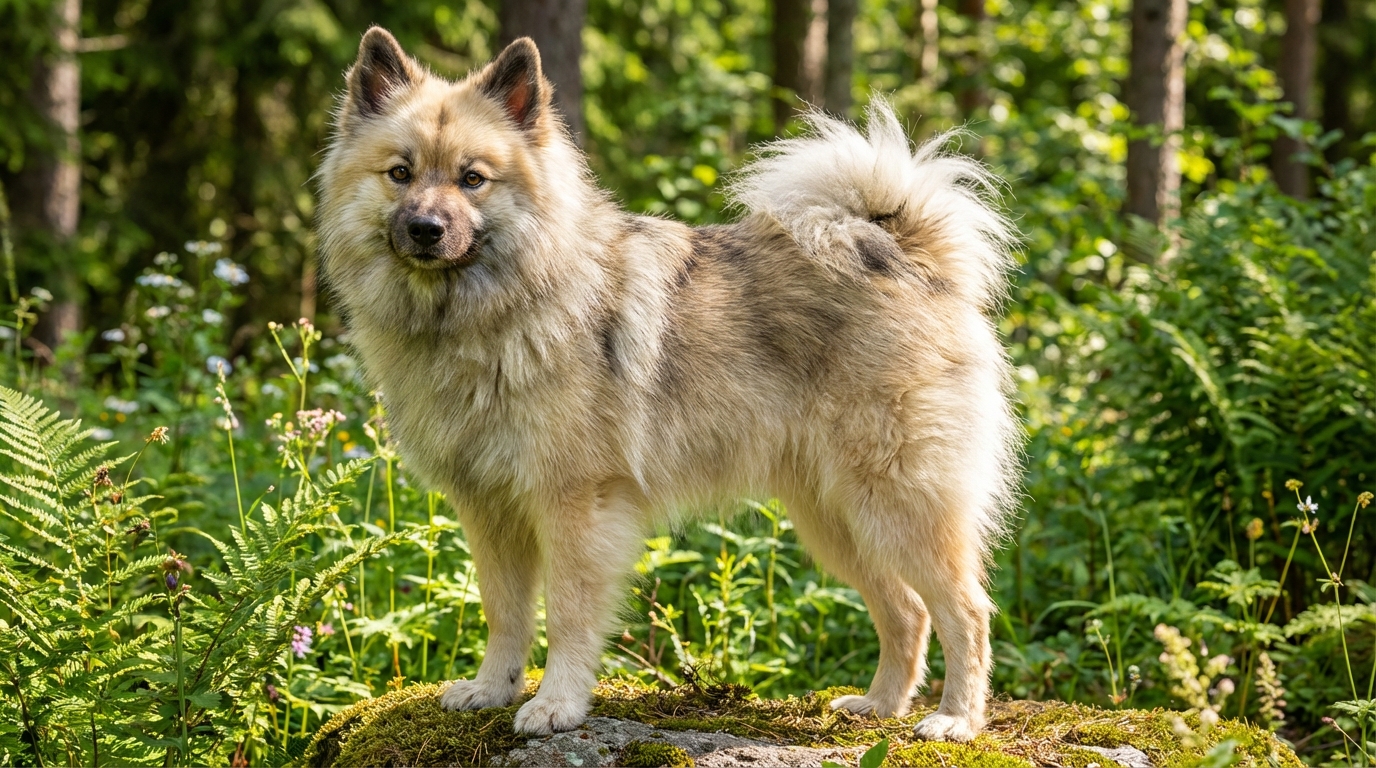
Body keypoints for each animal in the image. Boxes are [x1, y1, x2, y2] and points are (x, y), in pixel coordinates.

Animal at [317, 27, 1020, 742]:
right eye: (400, 173)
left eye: (472, 179)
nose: (426, 229)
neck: (489, 312)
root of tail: (906, 253)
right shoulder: (491, 509)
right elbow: (505, 612)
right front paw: (493, 689)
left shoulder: (574, 505)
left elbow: (567, 613)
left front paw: (556, 705)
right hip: (837, 517)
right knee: (906, 610)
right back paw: (880, 705)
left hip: (900, 502)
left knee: (966, 610)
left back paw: (956, 719)